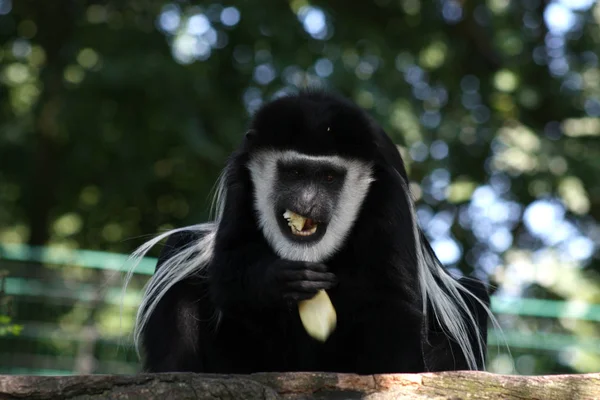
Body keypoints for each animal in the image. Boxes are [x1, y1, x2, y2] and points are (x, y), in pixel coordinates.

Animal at [124, 90, 494, 376]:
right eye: (294, 173)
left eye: (329, 178)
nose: (307, 202)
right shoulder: (241, 179)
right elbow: (229, 267)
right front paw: (280, 280)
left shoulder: (389, 199)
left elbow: (394, 303)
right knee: (181, 261)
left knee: (468, 300)